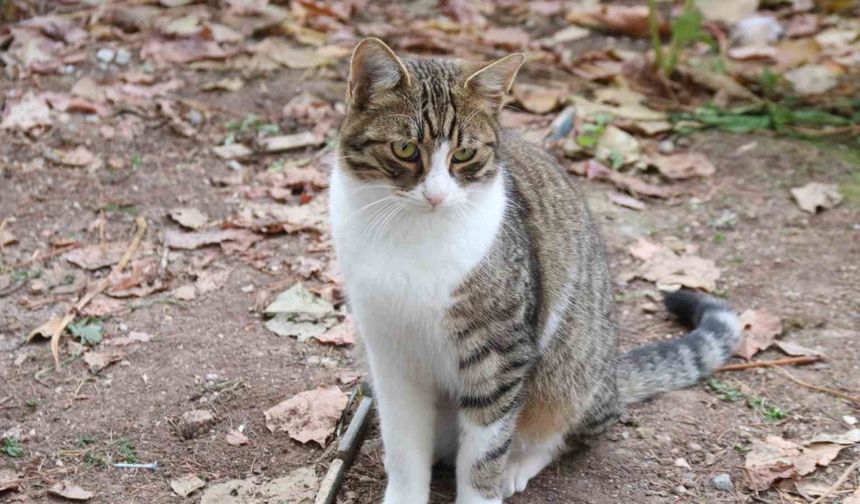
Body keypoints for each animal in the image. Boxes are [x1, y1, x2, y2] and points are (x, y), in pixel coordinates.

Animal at [326, 37, 744, 502]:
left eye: (464, 154)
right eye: (404, 150)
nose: (436, 196)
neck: (412, 235)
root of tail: (613, 379)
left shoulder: (500, 356)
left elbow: (484, 456)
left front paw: (486, 484)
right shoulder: (391, 355)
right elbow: (402, 449)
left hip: (568, 374)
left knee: (561, 433)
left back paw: (518, 464)